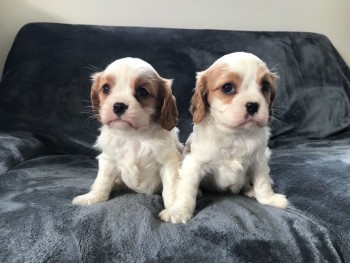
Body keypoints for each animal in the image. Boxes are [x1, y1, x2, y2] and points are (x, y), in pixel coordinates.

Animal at [74, 56, 183, 209]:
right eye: (106, 88)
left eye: (142, 92)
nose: (118, 106)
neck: (133, 135)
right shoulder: (109, 159)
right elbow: (103, 180)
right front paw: (94, 197)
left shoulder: (168, 161)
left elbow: (171, 187)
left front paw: (174, 208)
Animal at [160, 52, 288, 225]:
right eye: (227, 87)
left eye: (265, 86)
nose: (253, 105)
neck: (236, 135)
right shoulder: (193, 163)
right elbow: (187, 190)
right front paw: (179, 211)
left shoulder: (259, 160)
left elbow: (263, 182)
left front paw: (269, 199)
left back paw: (250, 190)